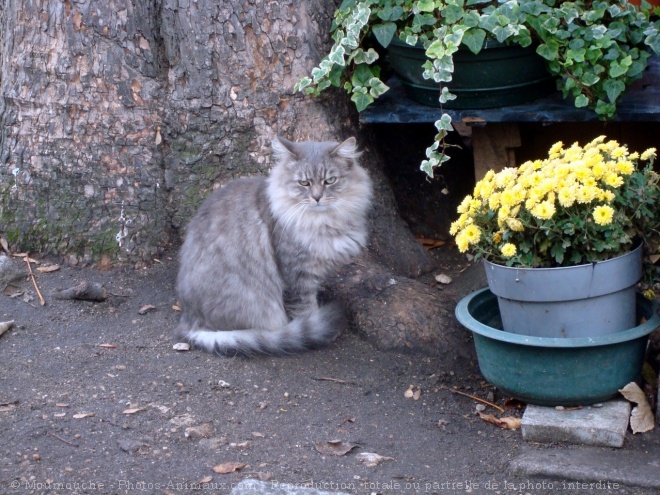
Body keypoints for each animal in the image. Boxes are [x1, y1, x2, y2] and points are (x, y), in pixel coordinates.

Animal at [174, 136, 372, 356]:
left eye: (330, 181)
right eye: (304, 183)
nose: (317, 197)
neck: (323, 222)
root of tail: (189, 321)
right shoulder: (296, 275)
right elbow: (305, 310)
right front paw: (315, 322)